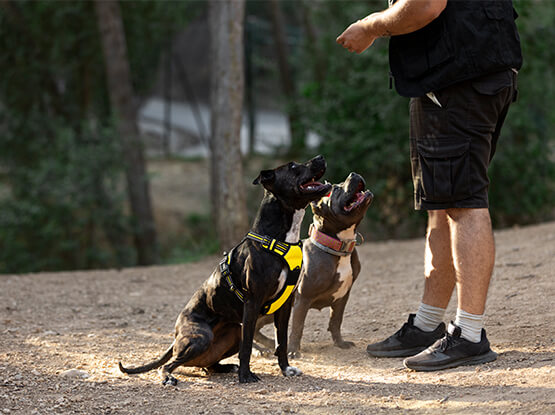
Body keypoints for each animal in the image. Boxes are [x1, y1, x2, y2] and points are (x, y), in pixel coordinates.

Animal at [118, 157, 332, 386]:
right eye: (293, 166)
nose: (320, 157)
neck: (278, 239)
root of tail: (176, 335)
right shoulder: (252, 302)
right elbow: (248, 346)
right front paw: (246, 376)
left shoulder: (285, 305)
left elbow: (281, 341)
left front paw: (285, 369)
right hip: (201, 337)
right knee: (168, 365)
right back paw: (169, 377)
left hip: (233, 330)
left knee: (208, 366)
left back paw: (227, 367)